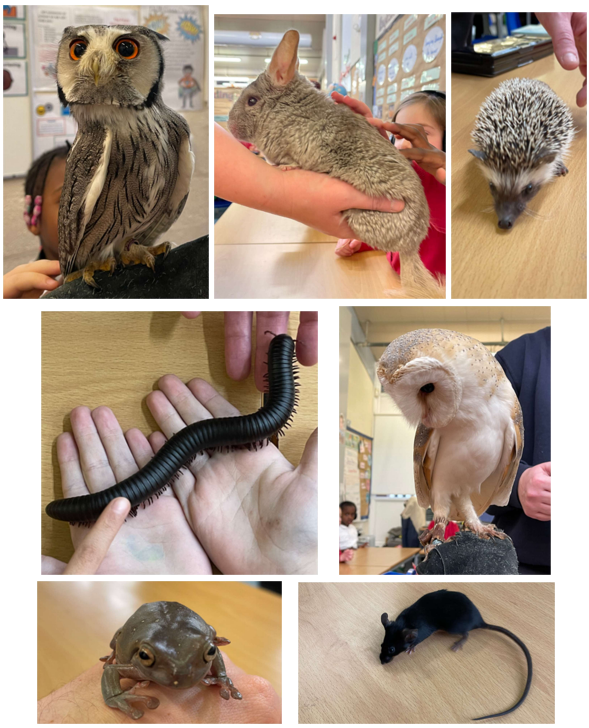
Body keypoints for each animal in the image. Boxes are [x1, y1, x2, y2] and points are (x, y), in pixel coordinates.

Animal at [227, 29, 444, 298]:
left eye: (252, 101)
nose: (229, 126)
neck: (285, 110)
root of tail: (412, 246)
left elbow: (290, 161)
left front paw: (286, 167)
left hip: (360, 217)